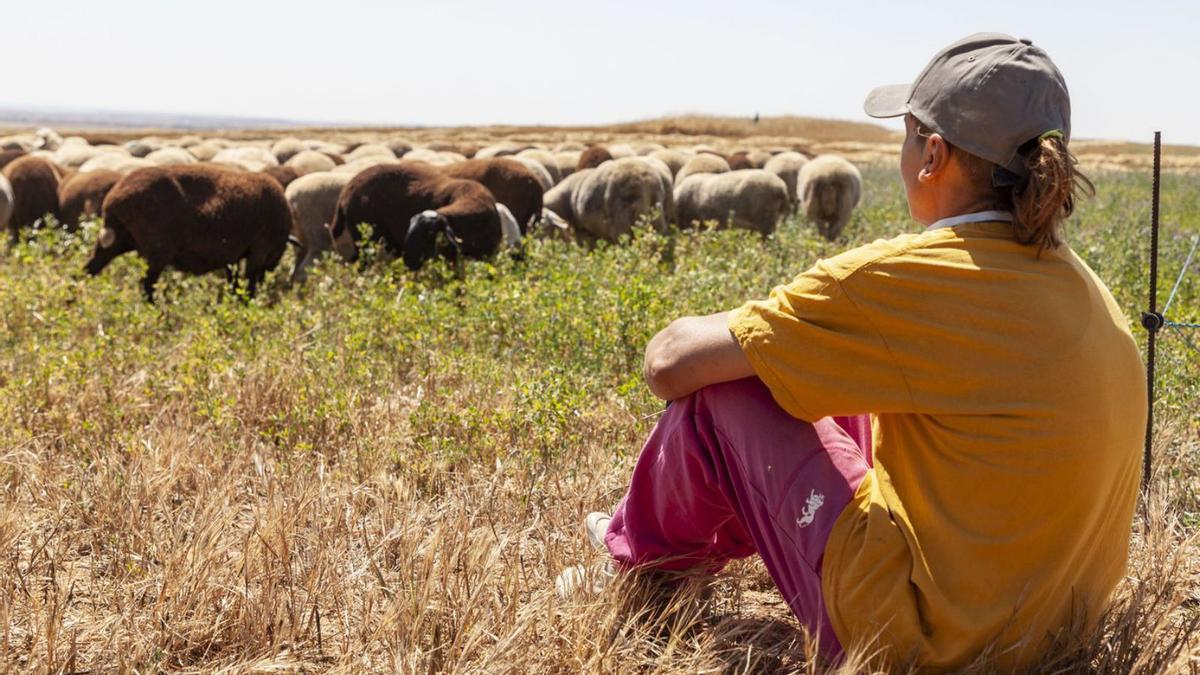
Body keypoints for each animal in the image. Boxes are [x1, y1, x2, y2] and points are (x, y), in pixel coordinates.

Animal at [84, 163, 292, 299]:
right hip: (157, 252)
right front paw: (245, 305)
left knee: (88, 269)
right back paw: (158, 316)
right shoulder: (259, 250)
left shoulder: (233, 257)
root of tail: (114, 198)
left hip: (116, 242)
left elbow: (234, 282)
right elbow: (249, 283)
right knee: (146, 286)